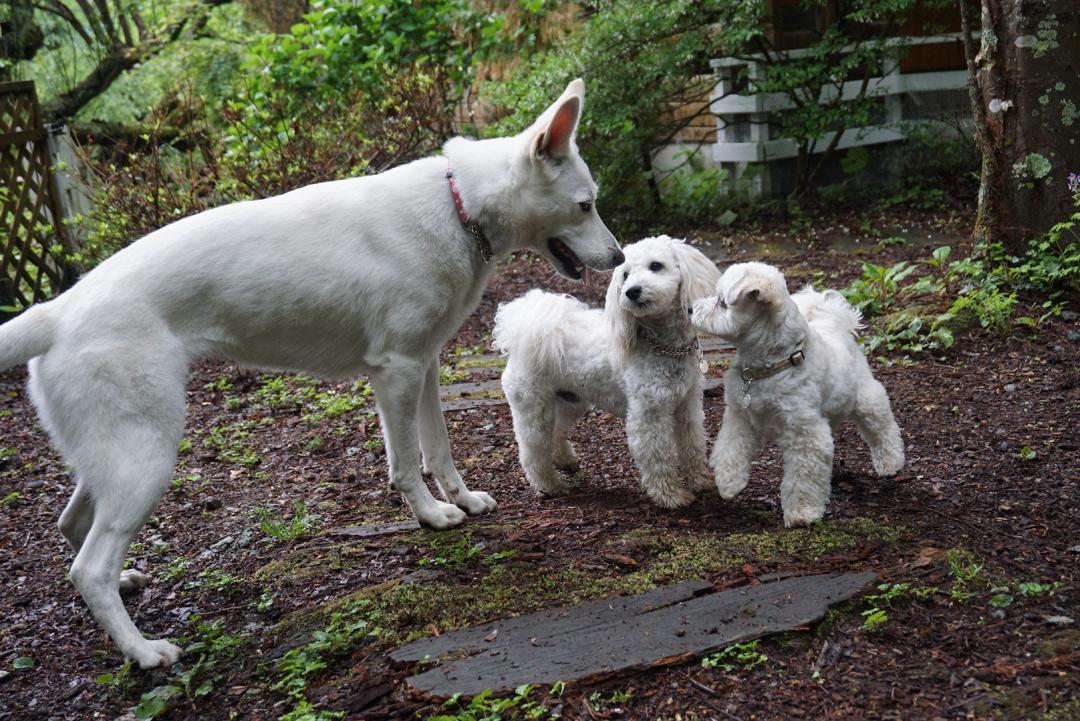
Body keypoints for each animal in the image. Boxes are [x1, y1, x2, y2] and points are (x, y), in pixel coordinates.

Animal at [0, 76, 626, 669]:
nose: (620, 259)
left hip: (115, 456)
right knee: (89, 568)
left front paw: (464, 500)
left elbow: (439, 449)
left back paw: (128, 589)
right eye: (585, 205)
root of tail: (57, 311)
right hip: (146, 457)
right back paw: (143, 650)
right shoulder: (396, 374)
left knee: (72, 526)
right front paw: (430, 515)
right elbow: (405, 465)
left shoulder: (424, 367)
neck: (458, 207)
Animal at [494, 236, 721, 507]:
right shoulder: (649, 414)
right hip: (533, 407)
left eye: (656, 266)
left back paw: (565, 461)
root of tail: (525, 331)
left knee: (557, 431)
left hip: (570, 401)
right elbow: (657, 455)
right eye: (625, 275)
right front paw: (671, 496)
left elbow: (693, 445)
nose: (632, 292)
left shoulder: (688, 406)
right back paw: (551, 485)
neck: (661, 344)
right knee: (533, 451)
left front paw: (700, 481)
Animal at [691, 262, 902, 526]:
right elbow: (731, 449)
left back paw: (892, 462)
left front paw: (803, 513)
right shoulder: (740, 418)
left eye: (721, 302)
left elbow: (804, 480)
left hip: (866, 399)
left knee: (883, 427)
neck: (771, 365)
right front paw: (729, 482)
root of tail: (834, 323)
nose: (689, 308)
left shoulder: (806, 435)